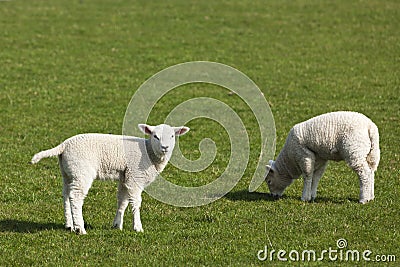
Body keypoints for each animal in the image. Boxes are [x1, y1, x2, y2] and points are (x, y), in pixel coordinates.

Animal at [30, 124, 190, 234]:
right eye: (155, 136)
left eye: (172, 136)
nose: (165, 147)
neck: (149, 153)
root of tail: (64, 145)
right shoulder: (135, 177)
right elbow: (136, 202)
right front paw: (138, 227)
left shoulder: (126, 176)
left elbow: (122, 201)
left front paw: (117, 225)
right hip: (82, 171)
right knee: (76, 197)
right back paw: (80, 228)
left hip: (68, 172)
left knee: (66, 195)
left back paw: (70, 224)